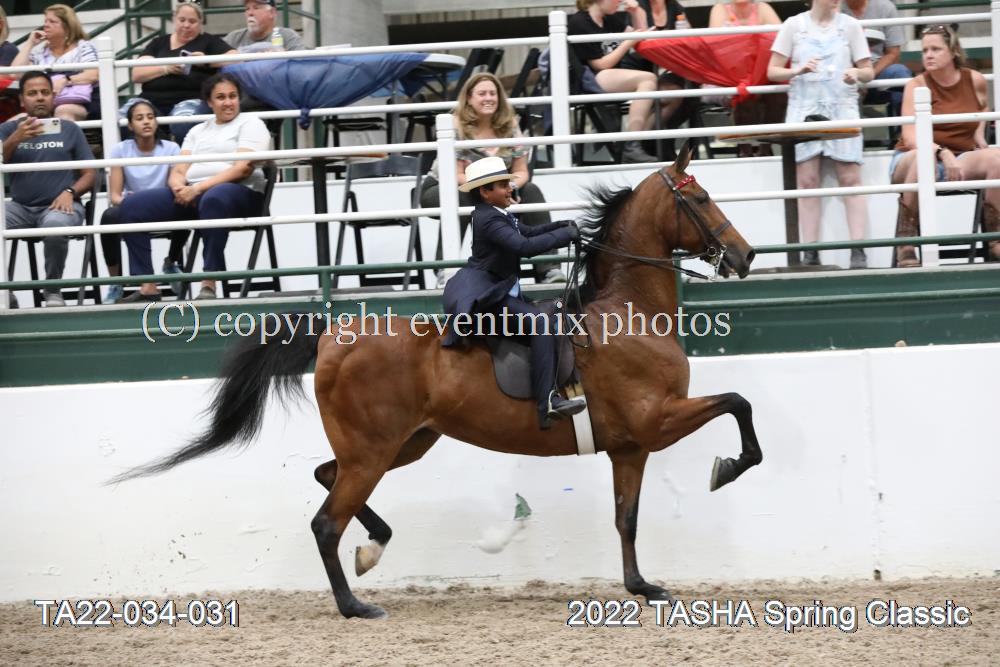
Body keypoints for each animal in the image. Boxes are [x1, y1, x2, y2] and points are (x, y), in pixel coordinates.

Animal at [113, 140, 762, 619]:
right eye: (701, 197)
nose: (746, 255)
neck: (629, 314)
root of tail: (334, 333)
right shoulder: (657, 419)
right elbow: (739, 404)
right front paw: (727, 469)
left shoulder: (630, 445)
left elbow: (627, 517)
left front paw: (641, 586)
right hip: (375, 450)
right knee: (326, 520)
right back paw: (355, 604)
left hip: (401, 444)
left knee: (327, 478)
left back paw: (373, 548)